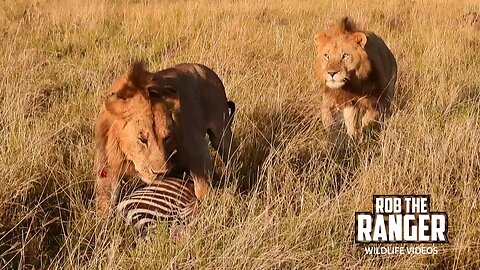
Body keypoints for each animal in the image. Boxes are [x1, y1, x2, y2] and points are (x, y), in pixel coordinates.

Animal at [94, 62, 235, 216]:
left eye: (167, 138)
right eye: (142, 140)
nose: (160, 174)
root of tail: (204, 68)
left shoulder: (196, 147)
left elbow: (203, 189)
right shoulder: (108, 165)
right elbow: (105, 201)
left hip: (221, 132)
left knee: (230, 159)